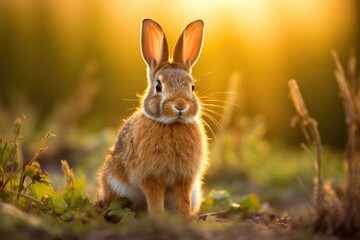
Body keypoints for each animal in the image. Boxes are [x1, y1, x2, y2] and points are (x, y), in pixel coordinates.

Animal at [98, 18, 208, 217]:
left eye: (192, 86)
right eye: (158, 86)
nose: (180, 105)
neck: (172, 125)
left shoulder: (184, 179)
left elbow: (184, 200)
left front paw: (184, 219)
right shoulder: (150, 177)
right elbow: (154, 198)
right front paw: (158, 218)